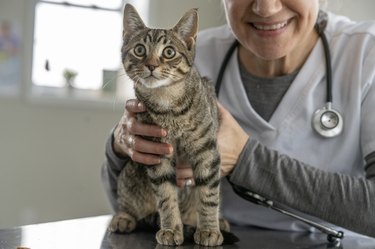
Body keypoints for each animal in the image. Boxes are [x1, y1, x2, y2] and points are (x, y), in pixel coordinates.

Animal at [110, 3, 225, 247]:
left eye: (169, 52)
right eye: (140, 50)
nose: (152, 65)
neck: (168, 104)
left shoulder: (207, 151)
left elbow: (209, 195)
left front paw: (209, 229)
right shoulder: (156, 153)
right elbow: (165, 196)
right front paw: (171, 228)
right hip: (128, 174)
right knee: (126, 201)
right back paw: (123, 217)